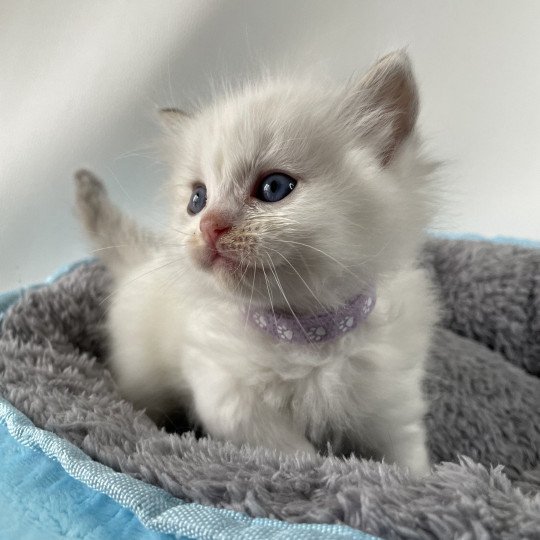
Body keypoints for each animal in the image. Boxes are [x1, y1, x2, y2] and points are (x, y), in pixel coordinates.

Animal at [77, 50, 438, 476]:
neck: (308, 334)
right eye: (197, 200)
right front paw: (323, 473)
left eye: (274, 187)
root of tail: (141, 259)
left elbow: (408, 467)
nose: (209, 227)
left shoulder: (392, 407)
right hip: (142, 378)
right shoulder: (227, 396)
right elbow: (296, 454)